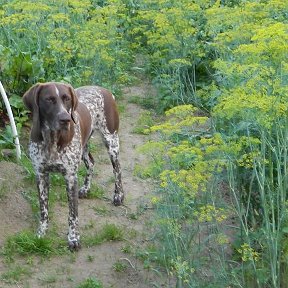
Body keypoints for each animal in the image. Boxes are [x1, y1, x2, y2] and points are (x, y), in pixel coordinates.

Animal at [23, 81, 124, 250]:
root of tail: (104, 90)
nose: (65, 119)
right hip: (84, 145)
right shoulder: (41, 175)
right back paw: (86, 189)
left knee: (117, 170)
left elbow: (73, 213)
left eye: (67, 99)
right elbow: (43, 209)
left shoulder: (70, 177)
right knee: (91, 162)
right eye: (49, 99)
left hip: (111, 142)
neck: (52, 140)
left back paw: (119, 196)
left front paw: (73, 238)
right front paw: (41, 232)